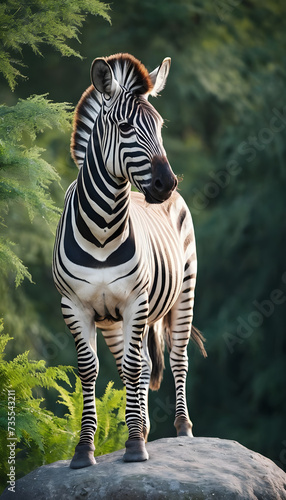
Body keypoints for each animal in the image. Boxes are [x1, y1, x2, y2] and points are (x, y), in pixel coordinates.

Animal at [53, 52, 206, 466]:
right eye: (124, 127)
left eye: (160, 126)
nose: (166, 184)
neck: (103, 229)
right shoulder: (75, 306)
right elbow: (91, 370)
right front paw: (85, 449)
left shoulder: (136, 300)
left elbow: (136, 367)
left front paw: (135, 445)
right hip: (112, 320)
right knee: (135, 364)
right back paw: (146, 429)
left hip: (184, 290)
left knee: (177, 356)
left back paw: (182, 429)